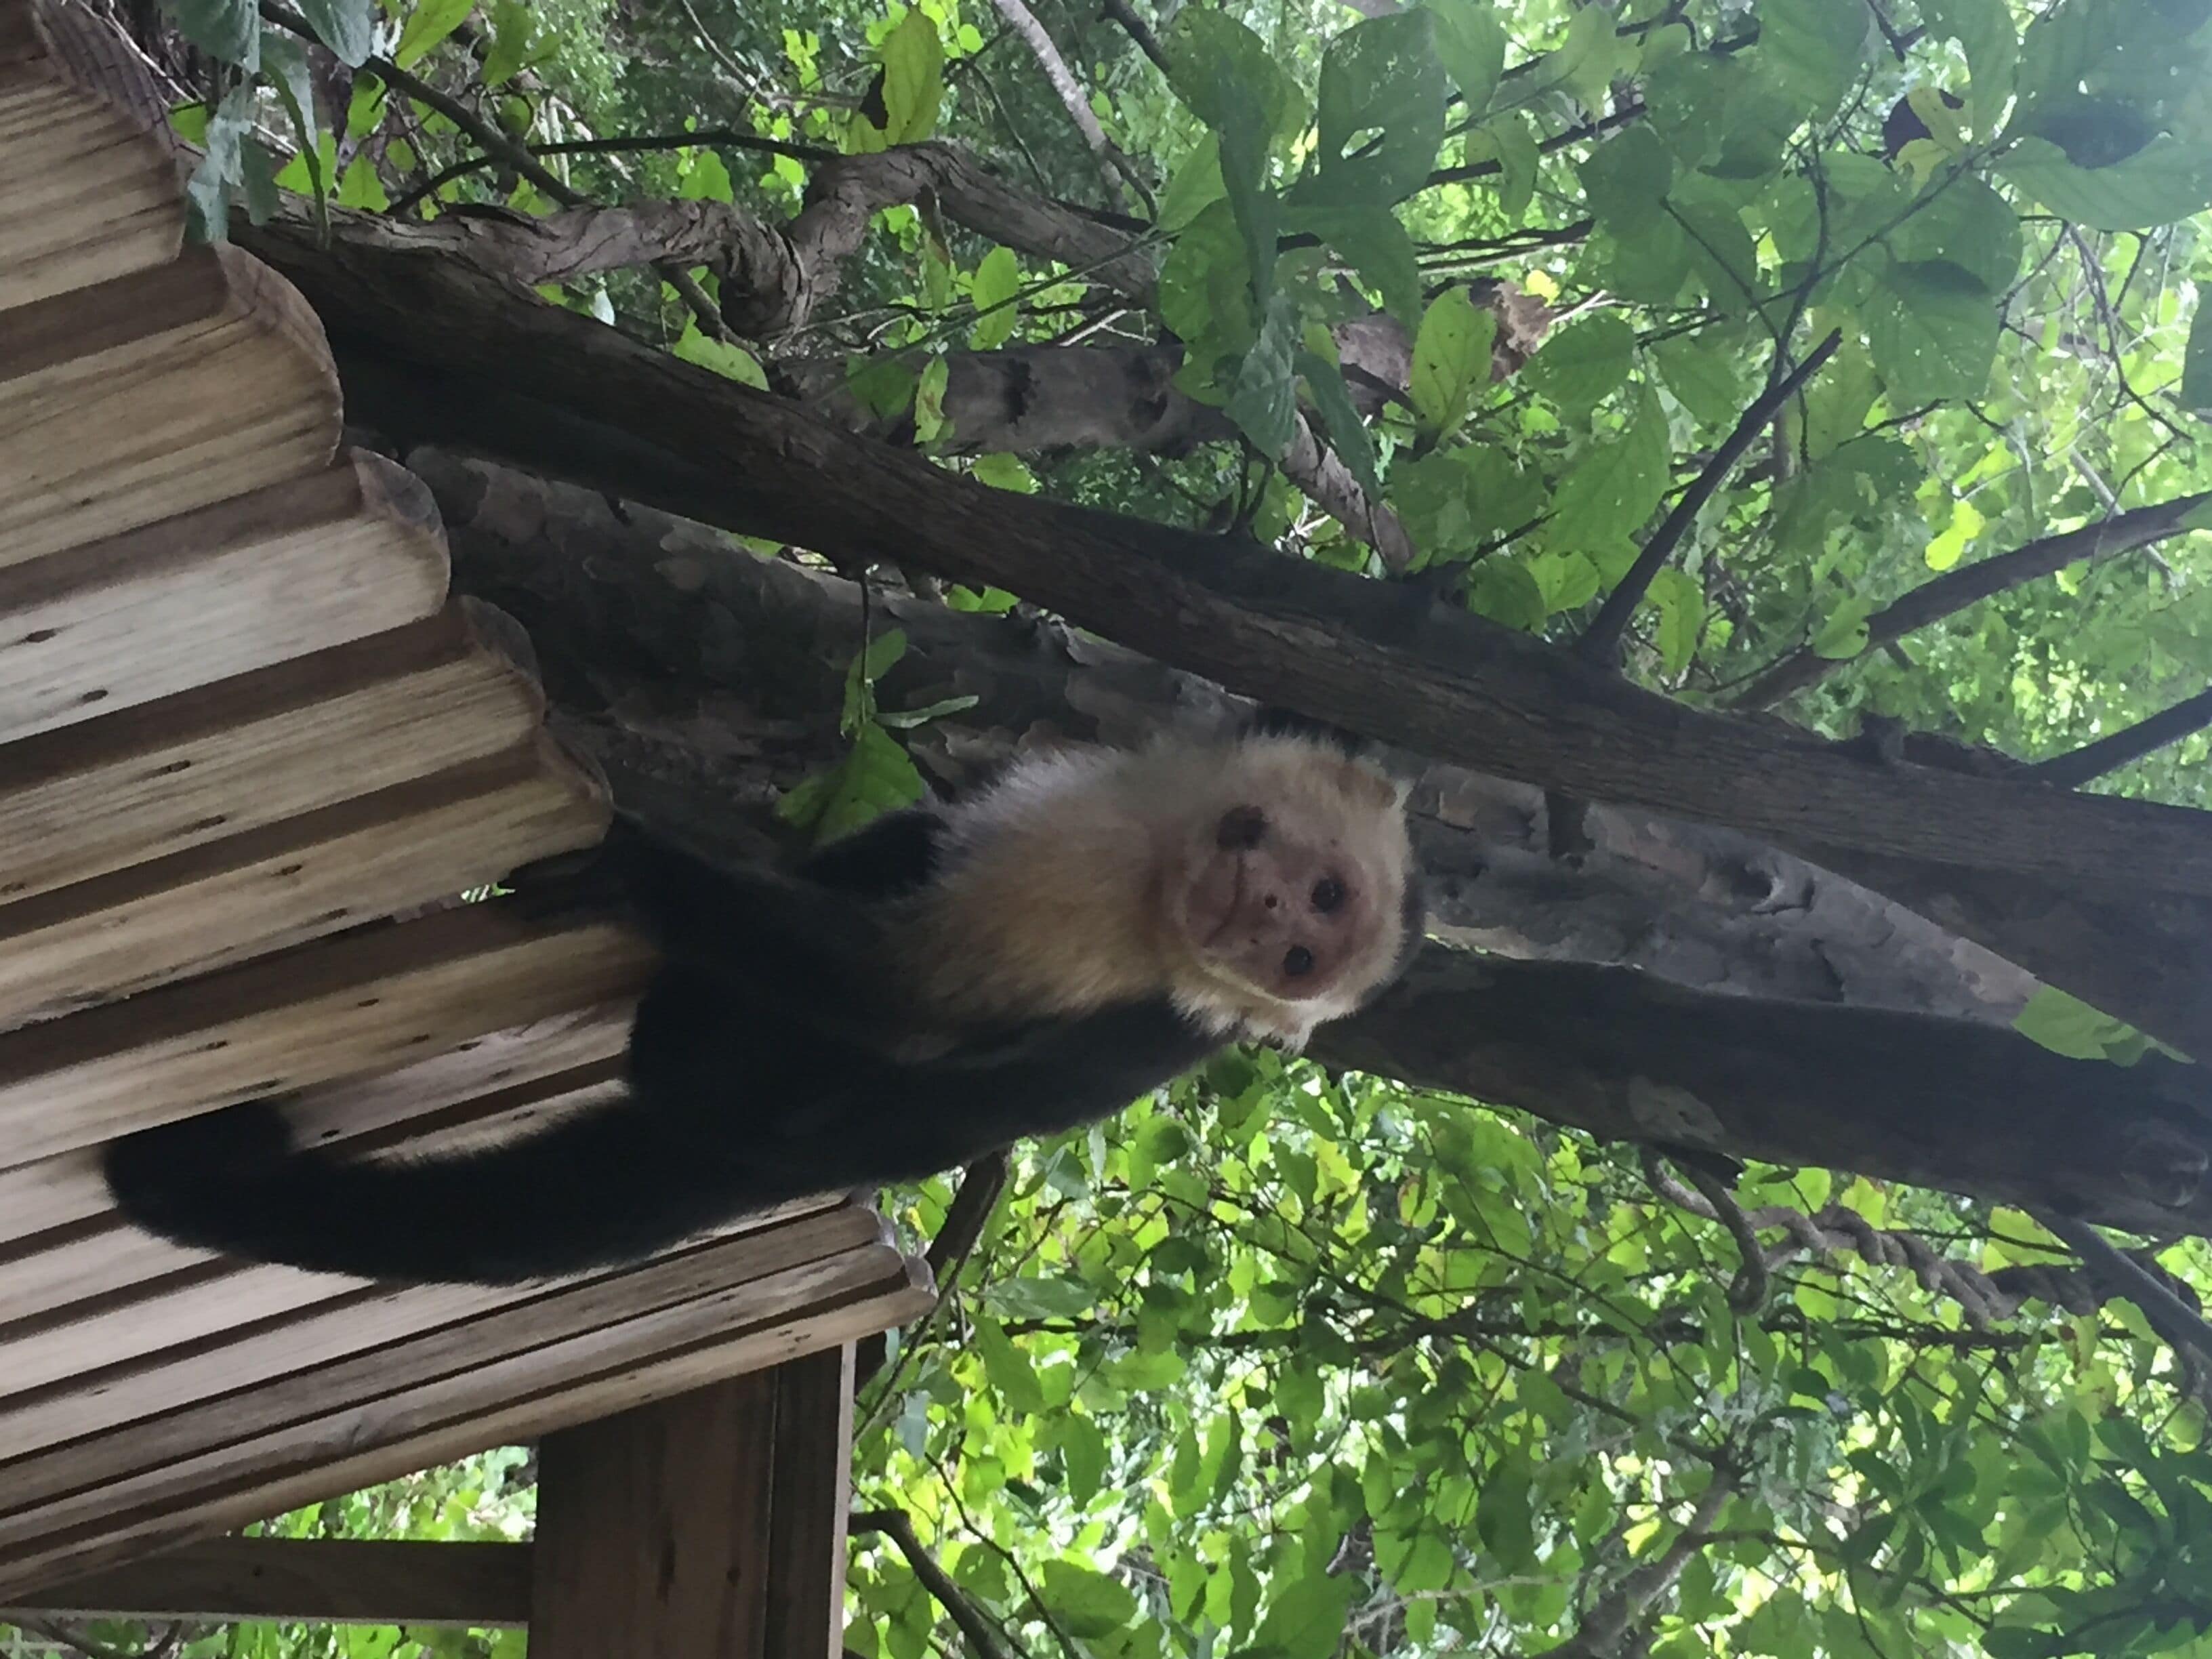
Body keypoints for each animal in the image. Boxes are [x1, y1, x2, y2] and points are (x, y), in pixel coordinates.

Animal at [101, 713, 1426, 1286]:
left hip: (760, 1101)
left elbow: (893, 996)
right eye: (1311, 895)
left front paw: (645, 875)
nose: (1265, 916)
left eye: (1307, 943)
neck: (1159, 887)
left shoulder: (1102, 935)